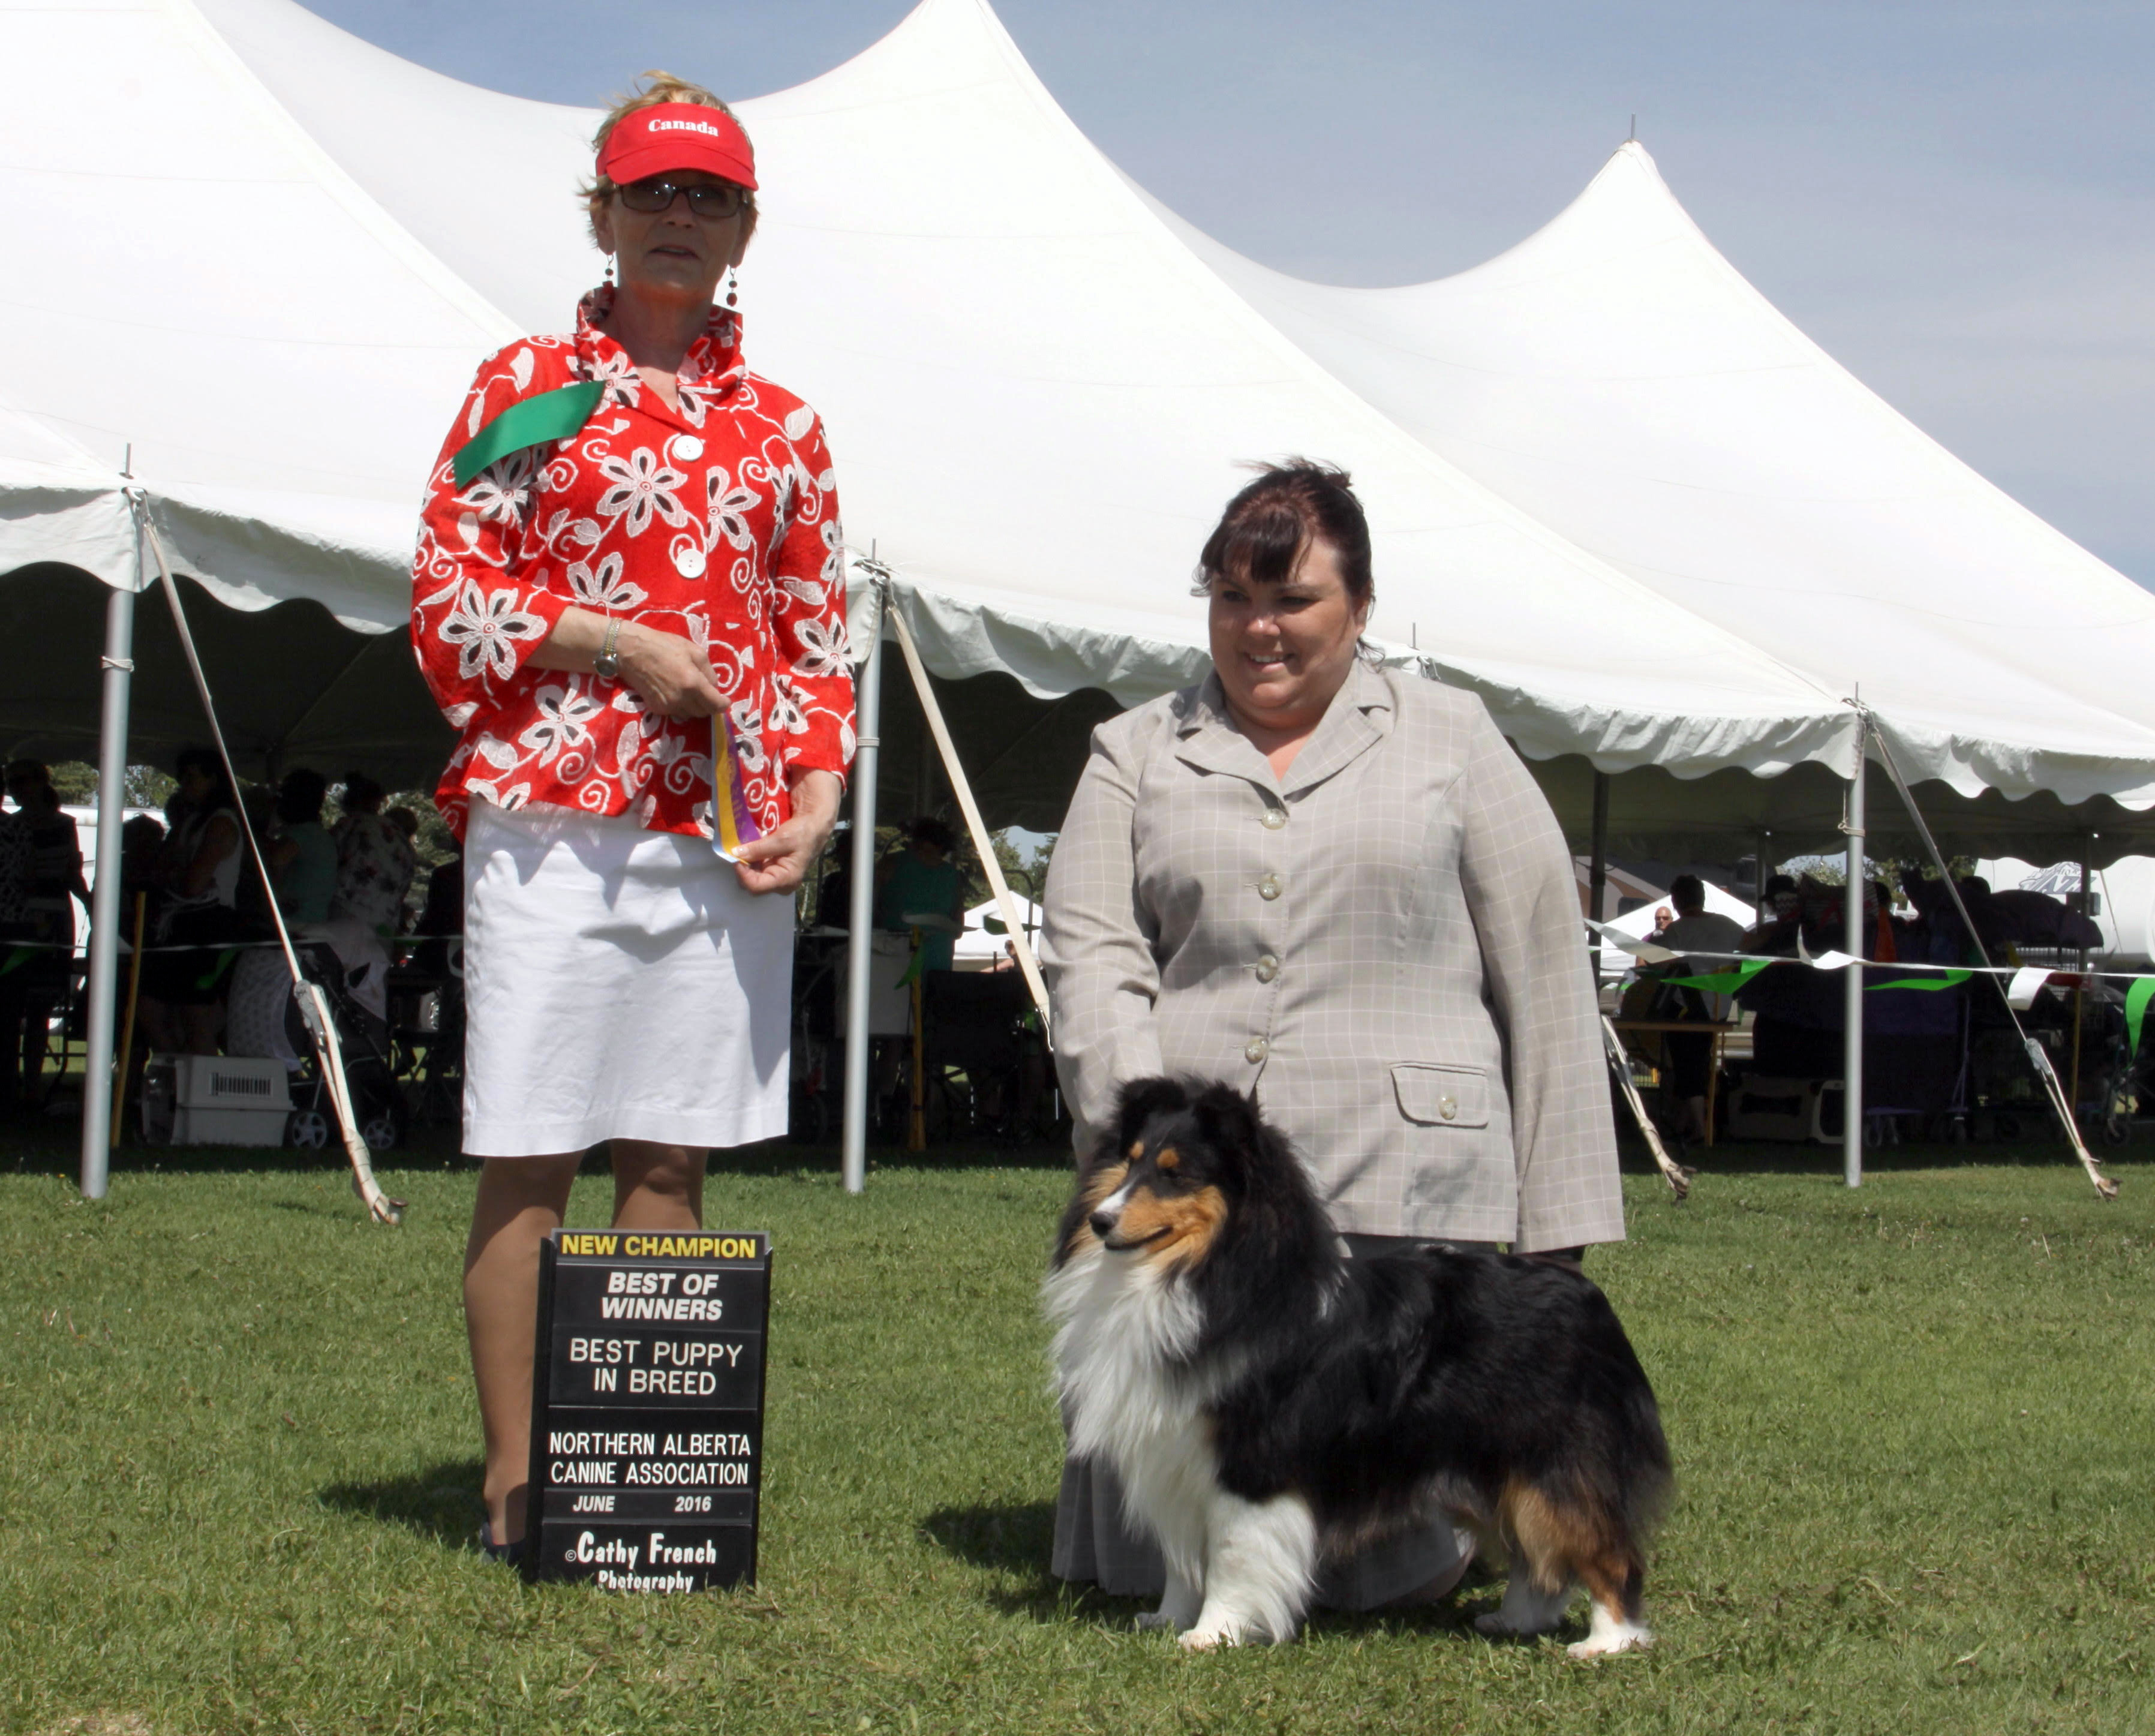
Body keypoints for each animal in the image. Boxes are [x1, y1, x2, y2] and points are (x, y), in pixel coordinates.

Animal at [1044, 1077, 1671, 1656]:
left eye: (1175, 1174)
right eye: (1130, 1164)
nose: (1100, 1221)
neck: (1201, 1274)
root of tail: (1583, 1295)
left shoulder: (1252, 1464)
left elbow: (1230, 1556)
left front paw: (1212, 1634)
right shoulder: (1175, 1456)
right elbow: (1183, 1559)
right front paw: (1169, 1618)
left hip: (1553, 1462)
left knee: (1604, 1552)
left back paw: (1607, 1643)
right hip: (1500, 1467)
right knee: (1536, 1558)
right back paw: (1515, 1620)